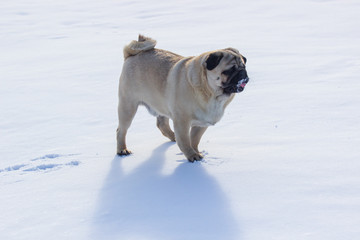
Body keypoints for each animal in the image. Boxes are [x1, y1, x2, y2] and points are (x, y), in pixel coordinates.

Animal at [116, 35, 249, 162]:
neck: (211, 94)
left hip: (161, 105)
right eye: (228, 71)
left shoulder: (201, 124)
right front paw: (192, 156)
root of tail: (131, 55)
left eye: (244, 67)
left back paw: (173, 137)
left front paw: (195, 152)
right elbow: (185, 140)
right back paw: (122, 150)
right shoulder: (182, 121)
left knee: (162, 125)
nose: (243, 74)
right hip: (128, 106)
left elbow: (194, 139)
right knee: (121, 130)